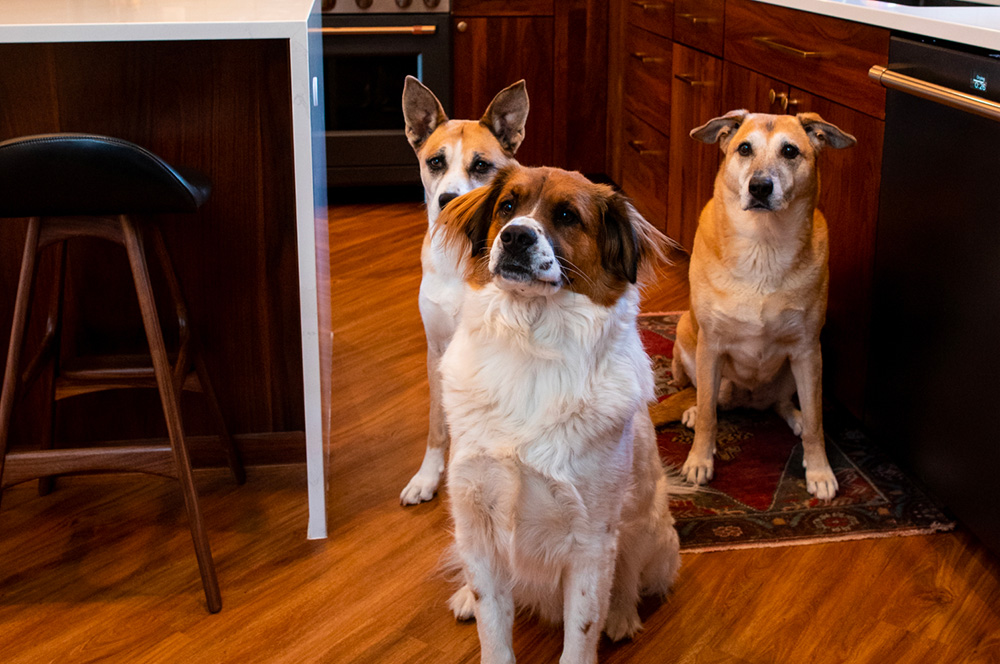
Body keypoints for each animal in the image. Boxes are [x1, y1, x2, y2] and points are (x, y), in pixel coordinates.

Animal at [440, 163, 684, 660]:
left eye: (568, 215)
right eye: (507, 206)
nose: (515, 236)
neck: (531, 345)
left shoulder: (591, 541)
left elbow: (581, 633)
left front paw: (603, 624)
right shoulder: (475, 519)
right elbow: (493, 628)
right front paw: (477, 608)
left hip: (646, 528)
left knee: (628, 577)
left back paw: (622, 616)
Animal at [648, 111, 860, 500]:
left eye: (790, 151)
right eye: (744, 148)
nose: (760, 187)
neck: (764, 245)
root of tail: (748, 399)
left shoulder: (808, 350)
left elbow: (816, 420)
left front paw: (819, 470)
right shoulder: (712, 346)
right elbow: (708, 417)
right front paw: (699, 460)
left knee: (786, 404)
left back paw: (792, 415)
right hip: (688, 337)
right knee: (704, 397)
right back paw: (692, 410)